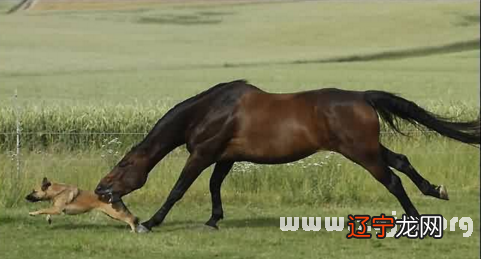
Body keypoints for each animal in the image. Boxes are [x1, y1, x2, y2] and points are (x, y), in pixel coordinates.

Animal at [94, 79, 480, 234]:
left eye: (123, 165)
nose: (99, 189)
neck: (210, 110)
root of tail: (362, 97)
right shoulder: (226, 157)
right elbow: (215, 187)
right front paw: (214, 219)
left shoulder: (203, 154)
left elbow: (179, 189)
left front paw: (150, 222)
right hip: (369, 148)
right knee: (401, 162)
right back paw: (436, 191)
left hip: (362, 152)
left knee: (393, 179)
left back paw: (416, 219)